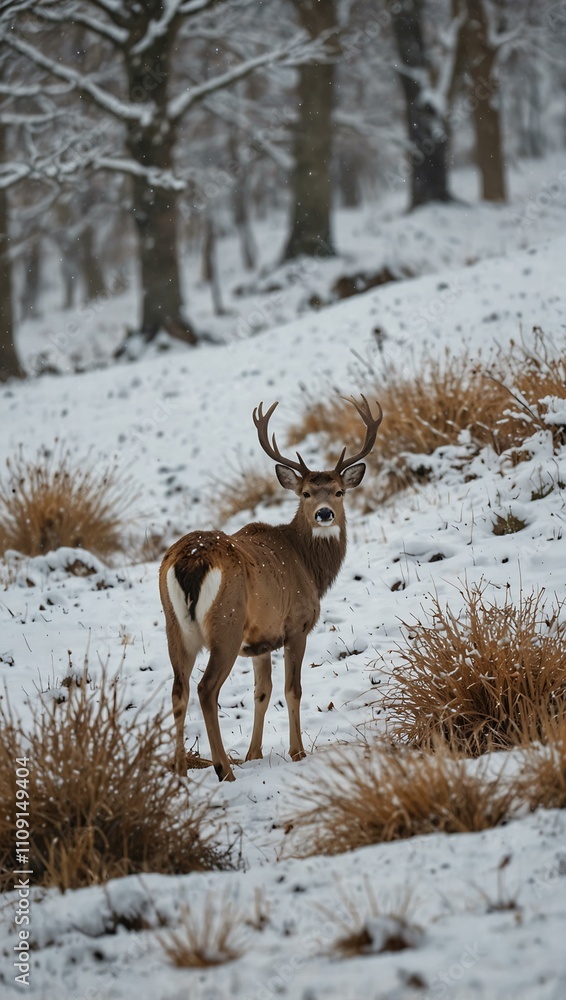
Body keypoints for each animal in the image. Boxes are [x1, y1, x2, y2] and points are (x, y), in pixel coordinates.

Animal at [159, 395, 383, 781]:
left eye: (339, 492)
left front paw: (253, 754)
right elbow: (293, 689)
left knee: (179, 690)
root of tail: (189, 560)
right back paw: (223, 770)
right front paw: (297, 752)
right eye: (305, 493)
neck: (308, 566)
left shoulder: (259, 640)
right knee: (205, 689)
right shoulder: (296, 624)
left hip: (175, 626)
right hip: (226, 623)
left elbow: (262, 692)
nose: (325, 514)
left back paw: (181, 772)